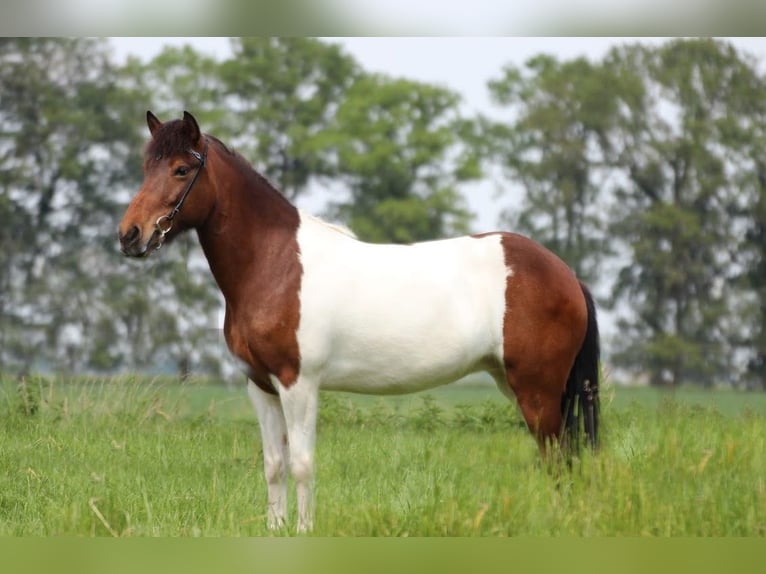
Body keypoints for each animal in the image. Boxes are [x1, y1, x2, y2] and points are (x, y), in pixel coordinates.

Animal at [118, 111, 600, 536]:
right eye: (146, 167)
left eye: (181, 169)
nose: (130, 235)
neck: (274, 264)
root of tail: (565, 273)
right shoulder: (261, 386)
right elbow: (274, 465)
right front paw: (276, 529)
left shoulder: (298, 384)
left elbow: (302, 464)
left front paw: (304, 530)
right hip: (517, 384)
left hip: (537, 390)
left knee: (558, 457)